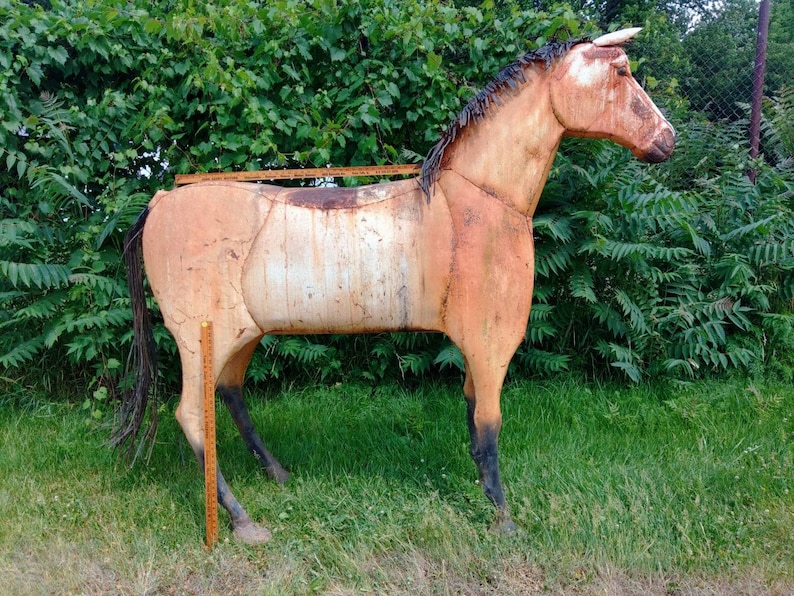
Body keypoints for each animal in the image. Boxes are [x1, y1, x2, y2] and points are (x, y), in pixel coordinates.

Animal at [117, 27, 674, 544]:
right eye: (621, 70)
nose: (667, 139)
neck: (478, 200)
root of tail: (162, 200)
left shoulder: (475, 347)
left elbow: (473, 418)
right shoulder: (490, 344)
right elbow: (489, 426)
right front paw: (503, 518)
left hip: (241, 335)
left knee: (229, 394)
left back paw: (276, 474)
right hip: (201, 338)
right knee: (193, 414)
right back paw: (242, 521)